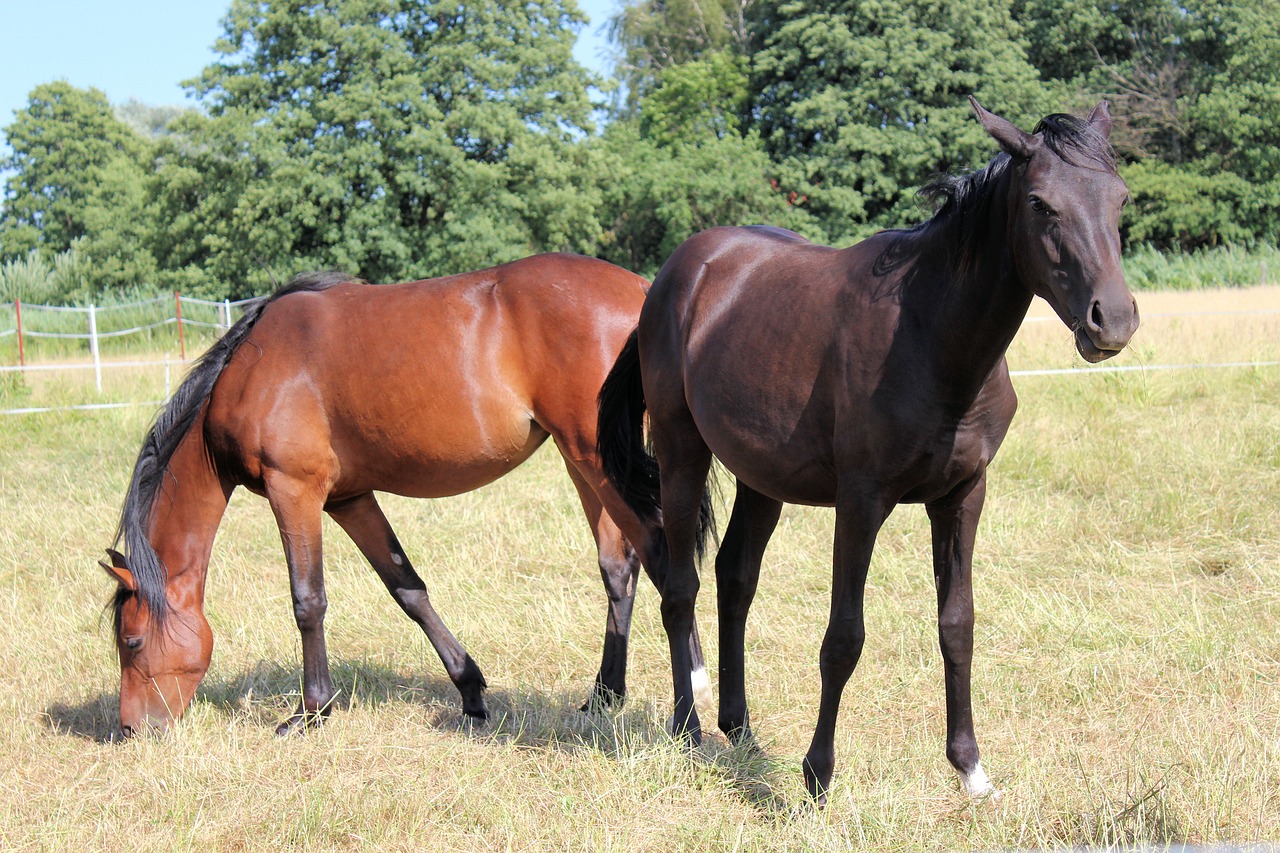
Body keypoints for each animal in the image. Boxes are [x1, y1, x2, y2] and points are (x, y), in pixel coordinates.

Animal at [99, 252, 711, 737]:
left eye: (132, 643)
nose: (130, 729)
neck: (251, 366)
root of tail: (645, 291)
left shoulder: (293, 490)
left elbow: (308, 600)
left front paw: (311, 711)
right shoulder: (349, 499)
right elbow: (407, 589)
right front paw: (470, 692)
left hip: (597, 459)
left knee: (663, 559)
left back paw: (691, 704)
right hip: (586, 462)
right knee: (619, 568)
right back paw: (605, 695)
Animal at [596, 96, 1141, 799]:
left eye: (1120, 199)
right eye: (1042, 203)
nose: (1114, 321)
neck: (931, 338)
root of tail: (669, 278)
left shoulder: (962, 497)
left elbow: (956, 625)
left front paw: (970, 767)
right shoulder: (861, 503)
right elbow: (843, 639)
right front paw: (816, 776)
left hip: (761, 478)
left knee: (734, 579)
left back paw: (738, 727)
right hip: (681, 450)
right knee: (680, 585)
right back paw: (688, 727)